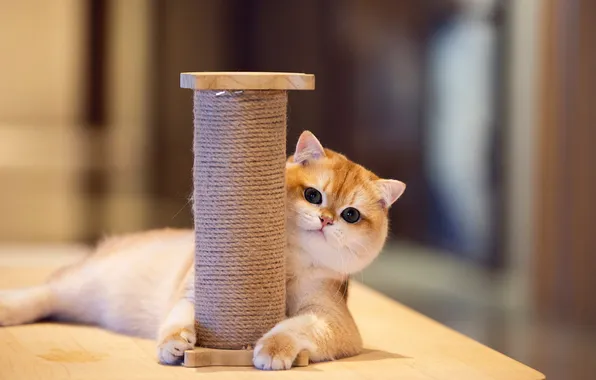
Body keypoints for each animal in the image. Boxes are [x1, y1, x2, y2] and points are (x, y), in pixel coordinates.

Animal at [0, 131, 406, 372]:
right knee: (45, 291)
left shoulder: (330, 318)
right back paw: (8, 309)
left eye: (350, 215)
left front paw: (273, 350)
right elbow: (180, 319)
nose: (325, 220)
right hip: (87, 282)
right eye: (313, 195)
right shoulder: (195, 292)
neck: (287, 264)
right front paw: (175, 345)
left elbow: (294, 328)